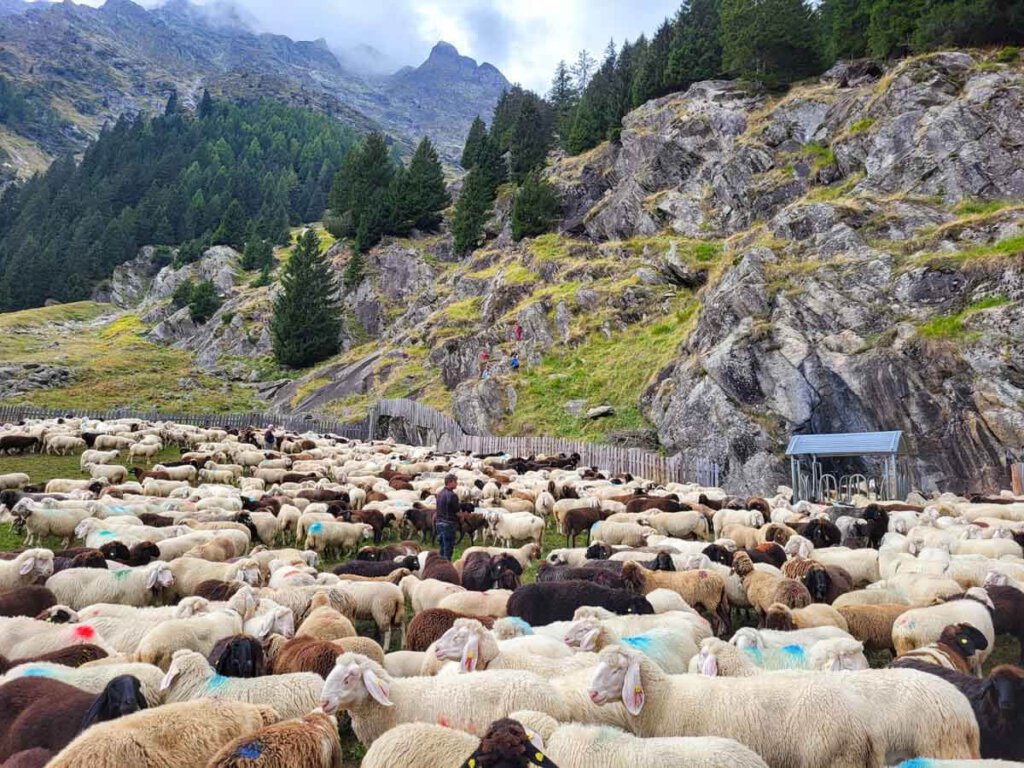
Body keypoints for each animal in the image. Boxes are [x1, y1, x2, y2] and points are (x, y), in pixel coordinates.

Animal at [44, 561, 174, 610]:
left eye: (170, 572)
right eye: (160, 571)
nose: (171, 582)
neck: (141, 580)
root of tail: (50, 580)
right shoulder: (130, 602)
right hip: (63, 599)